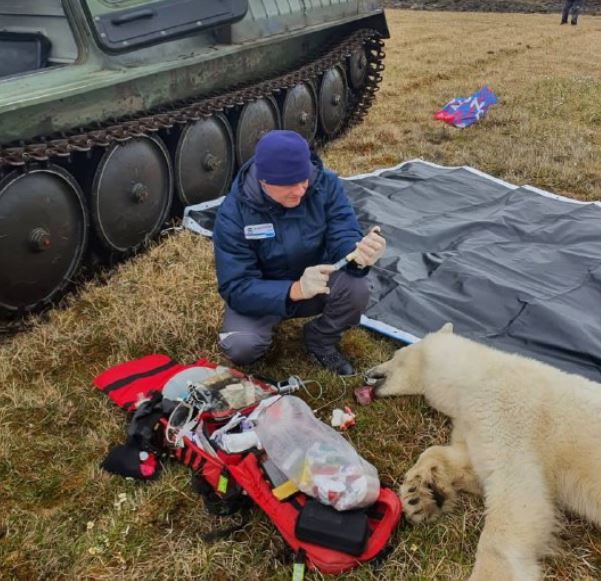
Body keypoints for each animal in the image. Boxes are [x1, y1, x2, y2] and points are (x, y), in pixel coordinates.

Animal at [366, 322, 600, 580]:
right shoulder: (473, 421)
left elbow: (519, 497)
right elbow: (470, 464)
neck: (474, 376)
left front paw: (489, 572)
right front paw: (419, 495)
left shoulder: (508, 415)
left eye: (396, 355)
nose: (369, 371)